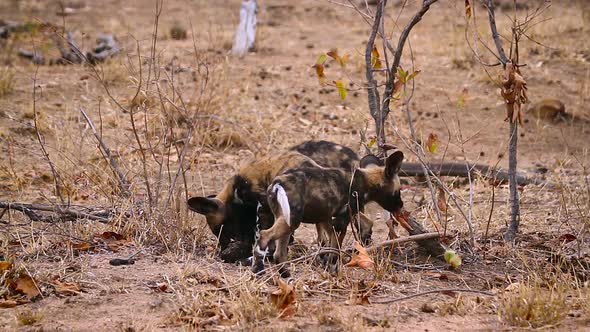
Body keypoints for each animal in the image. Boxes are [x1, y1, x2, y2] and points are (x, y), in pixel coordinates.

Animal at [252, 149, 404, 276]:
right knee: (264, 236)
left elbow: (329, 244)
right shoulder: (341, 221)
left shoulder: (326, 219)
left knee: (279, 254)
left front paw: (326, 265)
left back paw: (286, 277)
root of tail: (277, 184)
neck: (365, 182)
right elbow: (335, 251)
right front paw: (333, 271)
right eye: (398, 191)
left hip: (285, 220)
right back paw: (259, 271)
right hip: (291, 222)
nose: (401, 205)